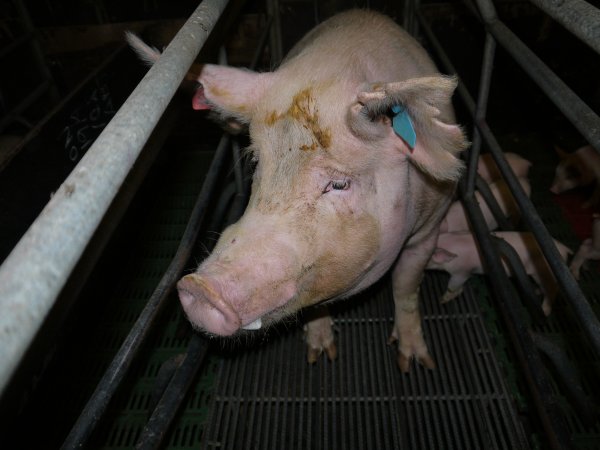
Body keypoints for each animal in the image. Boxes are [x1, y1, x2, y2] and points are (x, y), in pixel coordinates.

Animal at [130, 9, 468, 372]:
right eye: (256, 161)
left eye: (339, 183)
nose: (200, 289)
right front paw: (319, 355)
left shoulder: (430, 226)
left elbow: (406, 285)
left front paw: (416, 363)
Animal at [426, 230, 572, 314]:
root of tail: (564, 249)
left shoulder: (462, 271)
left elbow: (454, 285)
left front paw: (441, 300)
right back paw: (536, 292)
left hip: (544, 273)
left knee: (552, 289)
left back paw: (545, 310)